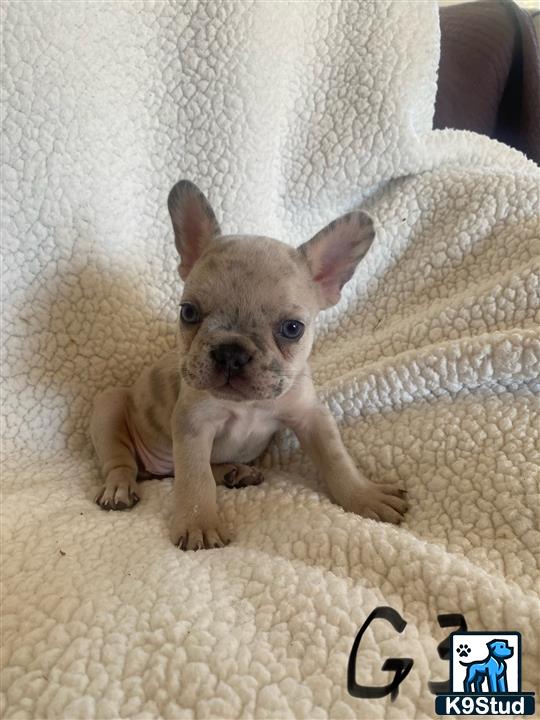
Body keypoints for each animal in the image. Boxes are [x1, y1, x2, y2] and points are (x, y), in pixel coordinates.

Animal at [92, 181, 404, 552]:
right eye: (188, 312)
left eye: (292, 328)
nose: (231, 352)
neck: (249, 404)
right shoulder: (193, 424)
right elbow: (195, 479)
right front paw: (199, 523)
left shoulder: (312, 417)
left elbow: (336, 459)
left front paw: (363, 495)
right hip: (108, 407)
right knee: (121, 460)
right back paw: (120, 487)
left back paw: (234, 471)